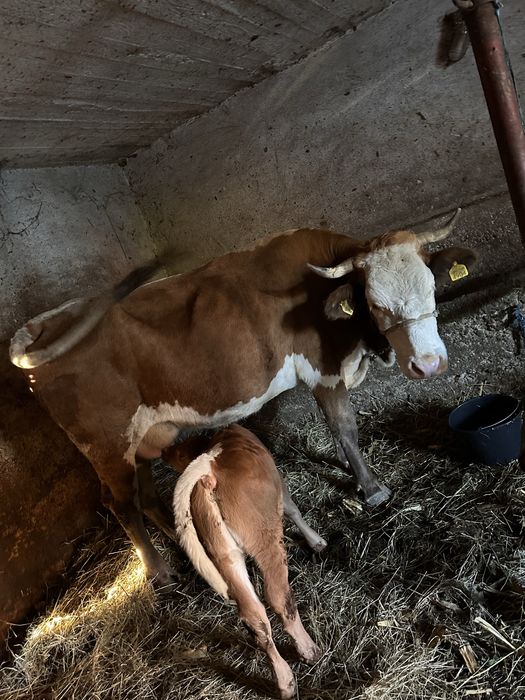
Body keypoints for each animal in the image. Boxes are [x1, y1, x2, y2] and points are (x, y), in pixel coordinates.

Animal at [9, 209, 476, 586]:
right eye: (376, 305)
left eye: (431, 286)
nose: (429, 365)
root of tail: (48, 321)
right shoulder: (322, 369)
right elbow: (345, 428)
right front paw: (371, 487)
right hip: (107, 443)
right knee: (120, 503)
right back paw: (159, 571)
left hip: (142, 435)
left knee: (146, 495)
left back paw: (175, 544)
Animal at [166, 423, 322, 699]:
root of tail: (209, 466)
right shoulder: (281, 486)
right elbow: (294, 511)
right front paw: (317, 541)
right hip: (264, 538)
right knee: (278, 597)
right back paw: (309, 651)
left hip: (225, 554)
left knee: (254, 615)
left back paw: (285, 681)